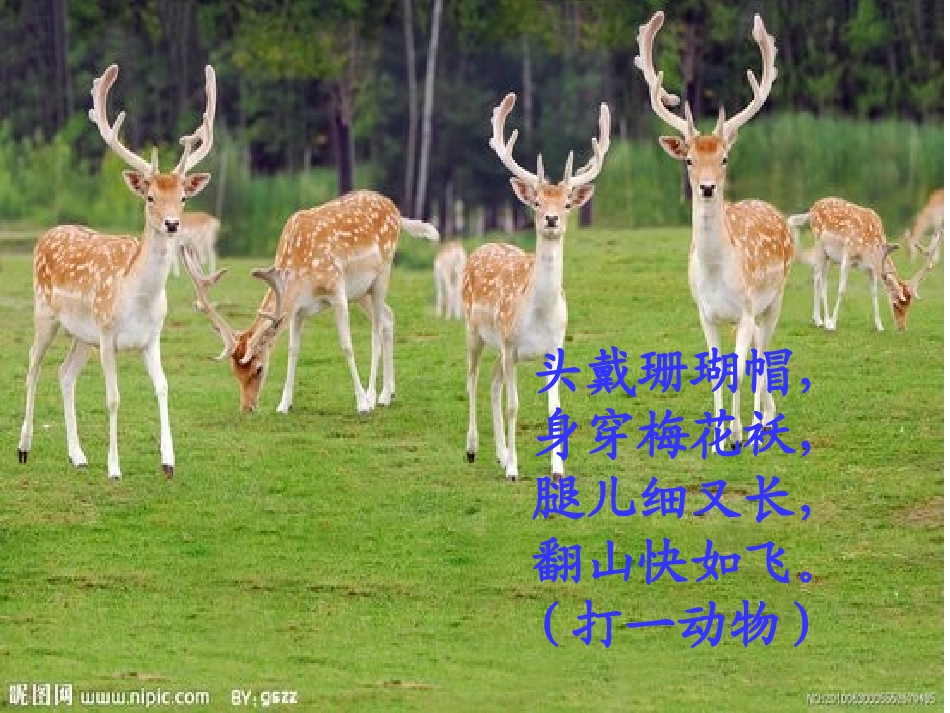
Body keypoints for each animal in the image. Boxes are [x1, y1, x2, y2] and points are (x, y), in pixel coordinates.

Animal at [17, 63, 216, 479]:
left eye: (184, 197)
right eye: (150, 196)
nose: (173, 223)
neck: (136, 300)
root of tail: (46, 233)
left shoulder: (151, 339)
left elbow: (163, 387)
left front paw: (168, 461)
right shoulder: (108, 336)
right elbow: (113, 397)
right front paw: (114, 466)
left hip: (81, 335)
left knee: (64, 374)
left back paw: (77, 455)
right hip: (45, 314)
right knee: (32, 365)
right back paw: (24, 448)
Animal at [179, 190, 440, 414]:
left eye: (259, 369)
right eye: (234, 372)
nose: (247, 407)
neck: (301, 275)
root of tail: (395, 210)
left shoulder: (337, 291)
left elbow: (346, 346)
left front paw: (361, 404)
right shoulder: (297, 309)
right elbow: (293, 351)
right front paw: (284, 404)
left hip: (381, 275)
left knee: (376, 330)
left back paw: (372, 396)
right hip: (361, 292)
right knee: (388, 317)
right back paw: (388, 393)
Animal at [462, 93, 609, 481]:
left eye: (567, 203)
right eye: (538, 201)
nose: (552, 218)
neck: (539, 315)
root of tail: (481, 247)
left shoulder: (554, 347)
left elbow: (554, 408)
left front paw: (557, 469)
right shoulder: (511, 344)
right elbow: (514, 406)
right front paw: (515, 470)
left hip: (500, 348)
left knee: (492, 384)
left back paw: (500, 454)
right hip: (475, 331)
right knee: (472, 378)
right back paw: (474, 450)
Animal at [634, 11, 794, 446]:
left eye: (723, 158)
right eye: (689, 159)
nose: (706, 187)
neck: (718, 275)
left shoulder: (746, 309)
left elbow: (739, 370)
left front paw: (737, 432)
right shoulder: (706, 313)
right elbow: (717, 372)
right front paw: (720, 433)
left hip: (775, 298)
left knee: (764, 353)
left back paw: (761, 419)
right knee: (758, 352)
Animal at [788, 197, 942, 331]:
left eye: (909, 305)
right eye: (896, 304)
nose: (902, 327)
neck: (870, 249)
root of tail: (812, 209)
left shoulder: (871, 268)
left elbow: (874, 293)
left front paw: (879, 326)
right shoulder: (847, 256)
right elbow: (841, 290)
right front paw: (834, 323)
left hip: (830, 256)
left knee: (819, 278)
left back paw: (820, 320)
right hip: (820, 245)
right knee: (820, 279)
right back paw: (825, 321)